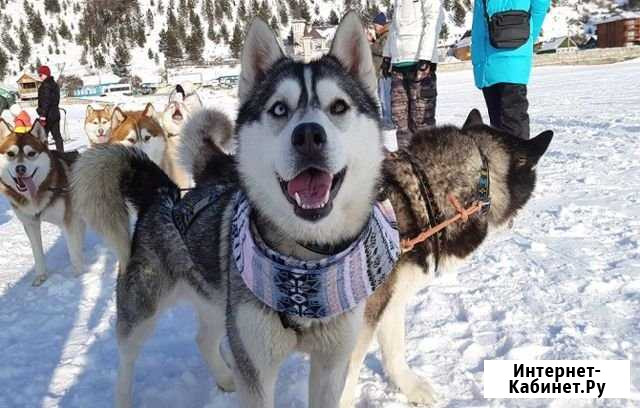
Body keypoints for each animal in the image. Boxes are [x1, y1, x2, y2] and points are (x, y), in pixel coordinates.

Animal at [0, 119, 85, 286]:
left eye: (31, 153)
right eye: (10, 154)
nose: (20, 168)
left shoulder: (68, 221)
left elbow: (74, 252)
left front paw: (79, 277)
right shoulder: (30, 224)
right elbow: (37, 253)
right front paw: (41, 276)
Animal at [69, 12, 552, 408]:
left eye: (338, 106)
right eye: (279, 108)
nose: (308, 136)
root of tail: (165, 192)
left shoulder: (362, 329)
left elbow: (391, 352)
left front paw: (411, 387)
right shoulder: (278, 362)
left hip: (213, 300)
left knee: (205, 338)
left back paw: (224, 377)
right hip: (141, 312)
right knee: (126, 364)